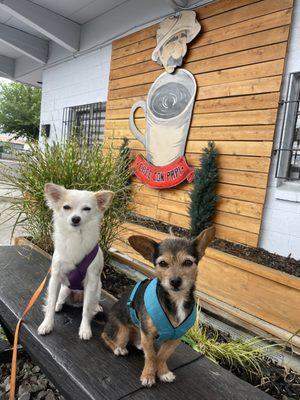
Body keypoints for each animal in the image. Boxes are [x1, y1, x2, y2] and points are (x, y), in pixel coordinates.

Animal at [37, 183, 112, 340]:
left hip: (97, 289)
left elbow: (86, 310)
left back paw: (96, 307)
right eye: (66, 207)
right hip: (65, 289)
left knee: (91, 304)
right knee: (59, 299)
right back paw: (59, 305)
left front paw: (85, 329)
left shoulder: (92, 281)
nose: (76, 218)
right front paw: (47, 324)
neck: (76, 236)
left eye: (87, 209)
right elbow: (50, 302)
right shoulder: (55, 277)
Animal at [102, 228, 214, 388]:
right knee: (106, 336)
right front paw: (148, 375)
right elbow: (150, 356)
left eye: (188, 262)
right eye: (162, 263)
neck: (176, 299)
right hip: (122, 332)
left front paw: (163, 372)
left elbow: (161, 356)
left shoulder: (175, 338)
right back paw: (118, 348)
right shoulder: (148, 334)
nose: (175, 281)